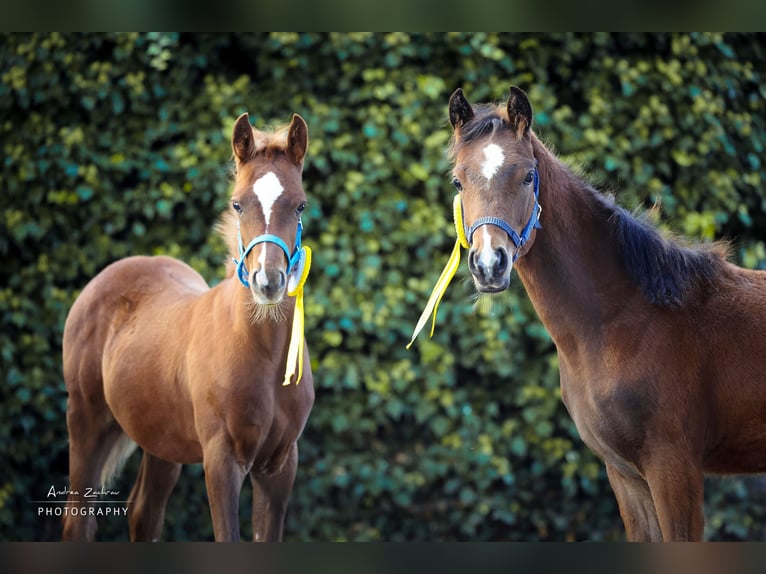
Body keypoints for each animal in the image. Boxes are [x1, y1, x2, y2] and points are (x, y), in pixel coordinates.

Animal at [60, 113, 316, 544]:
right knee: (78, 520)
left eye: (300, 205)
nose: (268, 283)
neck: (262, 355)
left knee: (143, 514)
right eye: (237, 203)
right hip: (86, 421)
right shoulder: (221, 459)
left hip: (161, 441)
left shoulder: (280, 464)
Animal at [412, 86, 766, 544]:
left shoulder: (674, 467)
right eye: (458, 180)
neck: (623, 318)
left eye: (528, 176)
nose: (490, 265)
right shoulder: (625, 474)